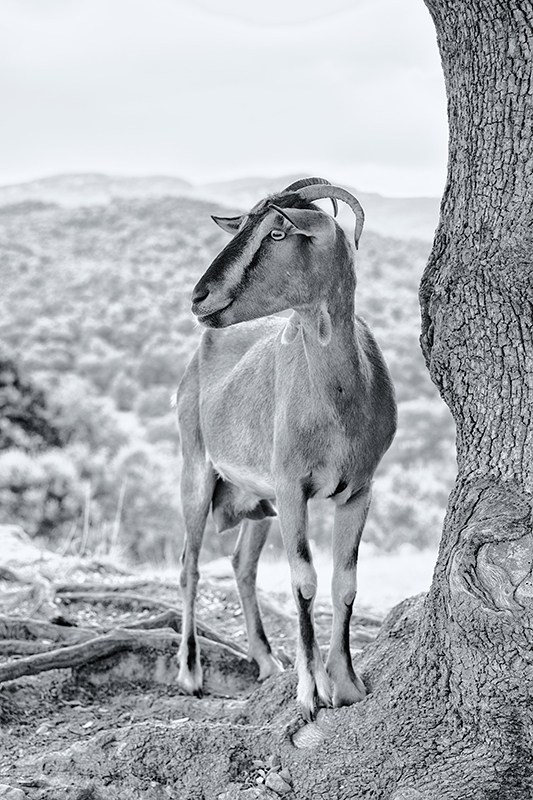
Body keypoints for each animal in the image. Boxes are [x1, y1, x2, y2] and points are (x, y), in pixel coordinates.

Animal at [178, 177, 394, 720]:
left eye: (277, 231)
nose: (200, 296)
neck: (339, 400)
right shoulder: (294, 487)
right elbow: (304, 580)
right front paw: (310, 693)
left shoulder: (358, 490)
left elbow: (344, 582)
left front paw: (346, 684)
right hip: (196, 470)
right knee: (190, 564)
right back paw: (190, 674)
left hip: (259, 501)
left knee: (241, 564)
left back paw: (265, 661)